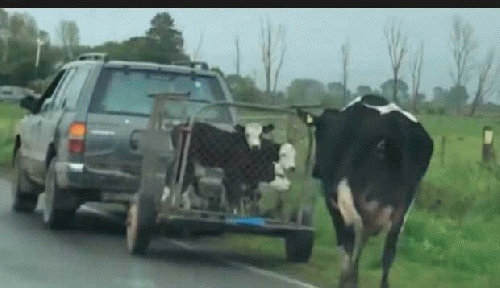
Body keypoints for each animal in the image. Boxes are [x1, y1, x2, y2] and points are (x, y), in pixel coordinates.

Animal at [296, 95, 434, 288]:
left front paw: (348, 279)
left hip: (348, 197)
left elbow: (347, 245)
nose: (315, 170)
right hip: (403, 209)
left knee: (350, 239)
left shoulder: (336, 203)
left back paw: (348, 279)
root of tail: (397, 127)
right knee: (388, 251)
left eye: (318, 134)